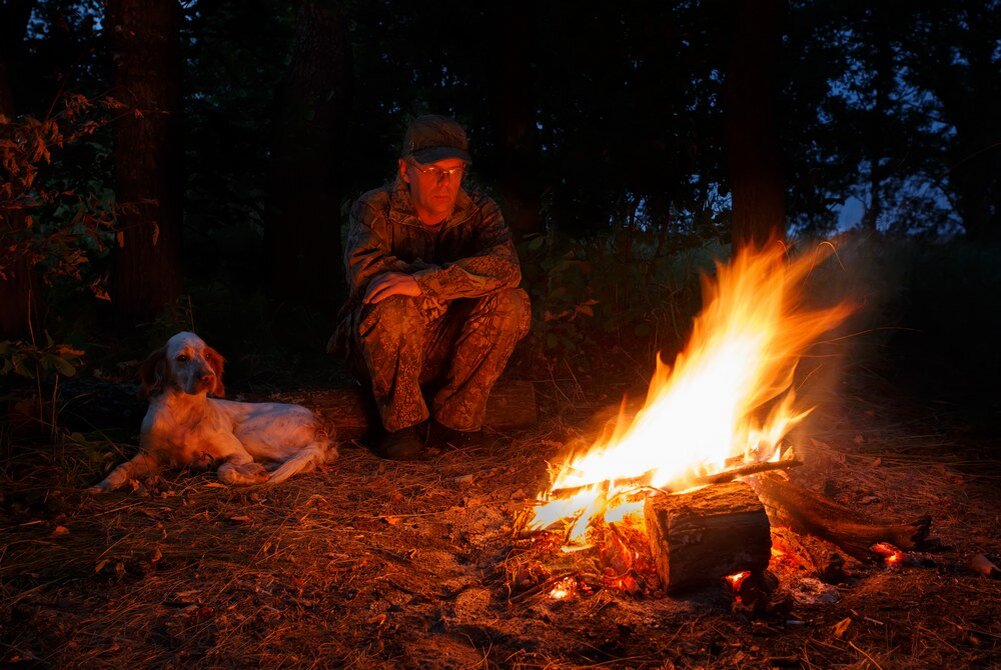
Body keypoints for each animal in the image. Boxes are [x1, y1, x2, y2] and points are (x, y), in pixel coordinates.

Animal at [88, 330, 336, 490]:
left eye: (207, 356)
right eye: (182, 358)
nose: (208, 377)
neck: (183, 413)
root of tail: (320, 424)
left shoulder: (238, 453)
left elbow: (224, 471)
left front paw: (248, 475)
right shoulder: (148, 456)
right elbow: (122, 468)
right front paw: (101, 485)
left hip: (249, 433)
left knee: (304, 459)